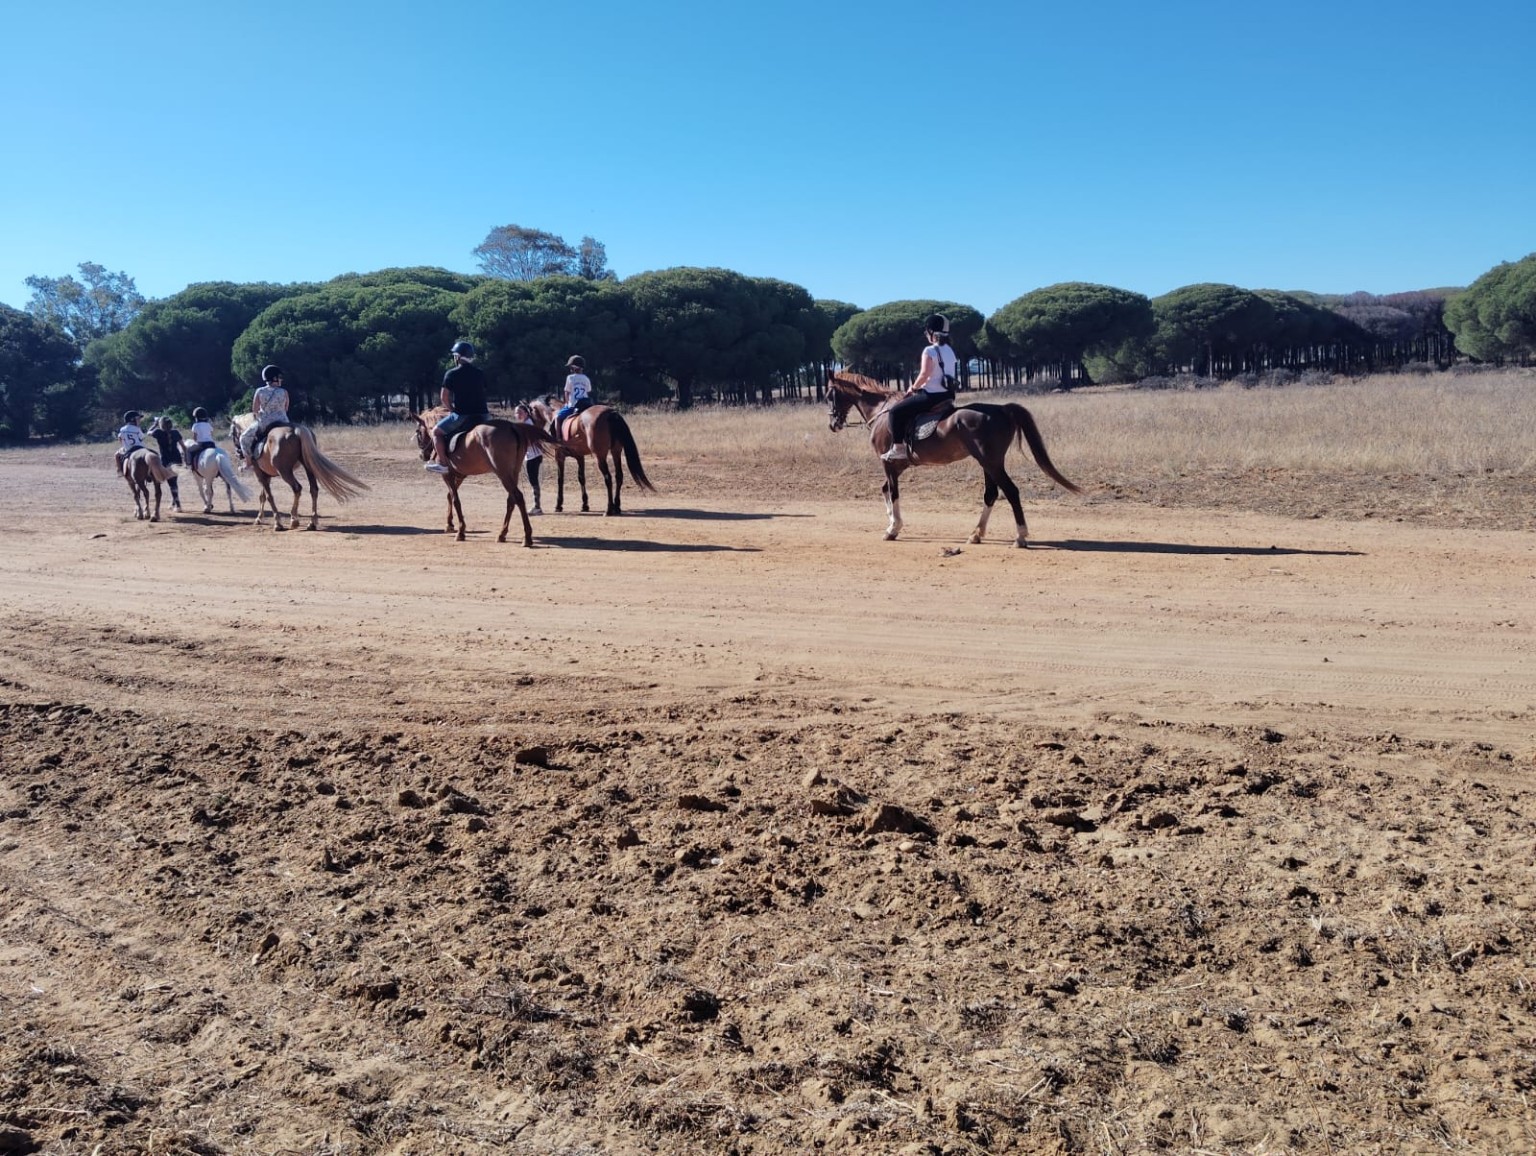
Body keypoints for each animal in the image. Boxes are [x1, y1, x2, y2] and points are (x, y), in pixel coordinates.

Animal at [229, 413, 370, 531]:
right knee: (313, 489)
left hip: (285, 471)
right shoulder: (266, 475)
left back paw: (294, 520)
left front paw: (277, 523)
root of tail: (296, 429)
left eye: (233, 434)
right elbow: (262, 496)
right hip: (308, 466)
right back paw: (312, 523)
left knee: (297, 488)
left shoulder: (259, 473)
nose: (238, 452)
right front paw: (259, 518)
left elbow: (269, 496)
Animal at [411, 408, 562, 545]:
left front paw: (460, 531)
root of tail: (512, 427)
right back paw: (502, 534)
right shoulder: (459, 475)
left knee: (518, 497)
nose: (422, 455)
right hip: (513, 473)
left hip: (503, 473)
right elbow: (450, 496)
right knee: (511, 499)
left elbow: (455, 500)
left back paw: (527, 537)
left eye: (418, 432)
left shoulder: (447, 475)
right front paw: (450, 524)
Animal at [524, 399, 656, 515]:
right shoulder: (580, 457)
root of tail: (611, 414)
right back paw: (617, 506)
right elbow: (581, 478)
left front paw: (559, 505)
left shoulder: (559, 456)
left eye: (530, 413)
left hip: (600, 456)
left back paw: (609, 509)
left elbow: (560, 479)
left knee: (608, 478)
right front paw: (585, 505)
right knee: (619, 476)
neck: (554, 413)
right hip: (616, 452)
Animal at [826, 370, 1080, 547]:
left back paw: (1020, 536)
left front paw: (893, 529)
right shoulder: (898, 465)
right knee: (991, 494)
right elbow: (885, 490)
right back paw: (976, 534)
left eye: (829, 394)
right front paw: (891, 523)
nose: (833, 424)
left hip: (991, 462)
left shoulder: (887, 462)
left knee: (1011, 491)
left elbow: (893, 492)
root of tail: (1002, 409)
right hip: (989, 463)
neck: (882, 410)